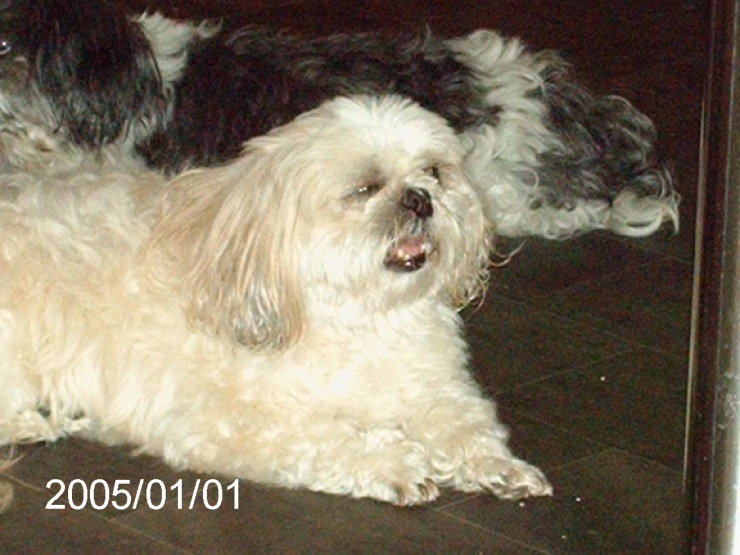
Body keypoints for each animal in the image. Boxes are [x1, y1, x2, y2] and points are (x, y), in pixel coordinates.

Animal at [0, 95, 552, 508]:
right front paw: (395, 463)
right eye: (365, 188)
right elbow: (325, 438)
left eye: (434, 171)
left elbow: (463, 423)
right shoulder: (226, 420)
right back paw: (33, 423)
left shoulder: (430, 386)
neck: (358, 318)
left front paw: (497, 465)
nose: (420, 199)